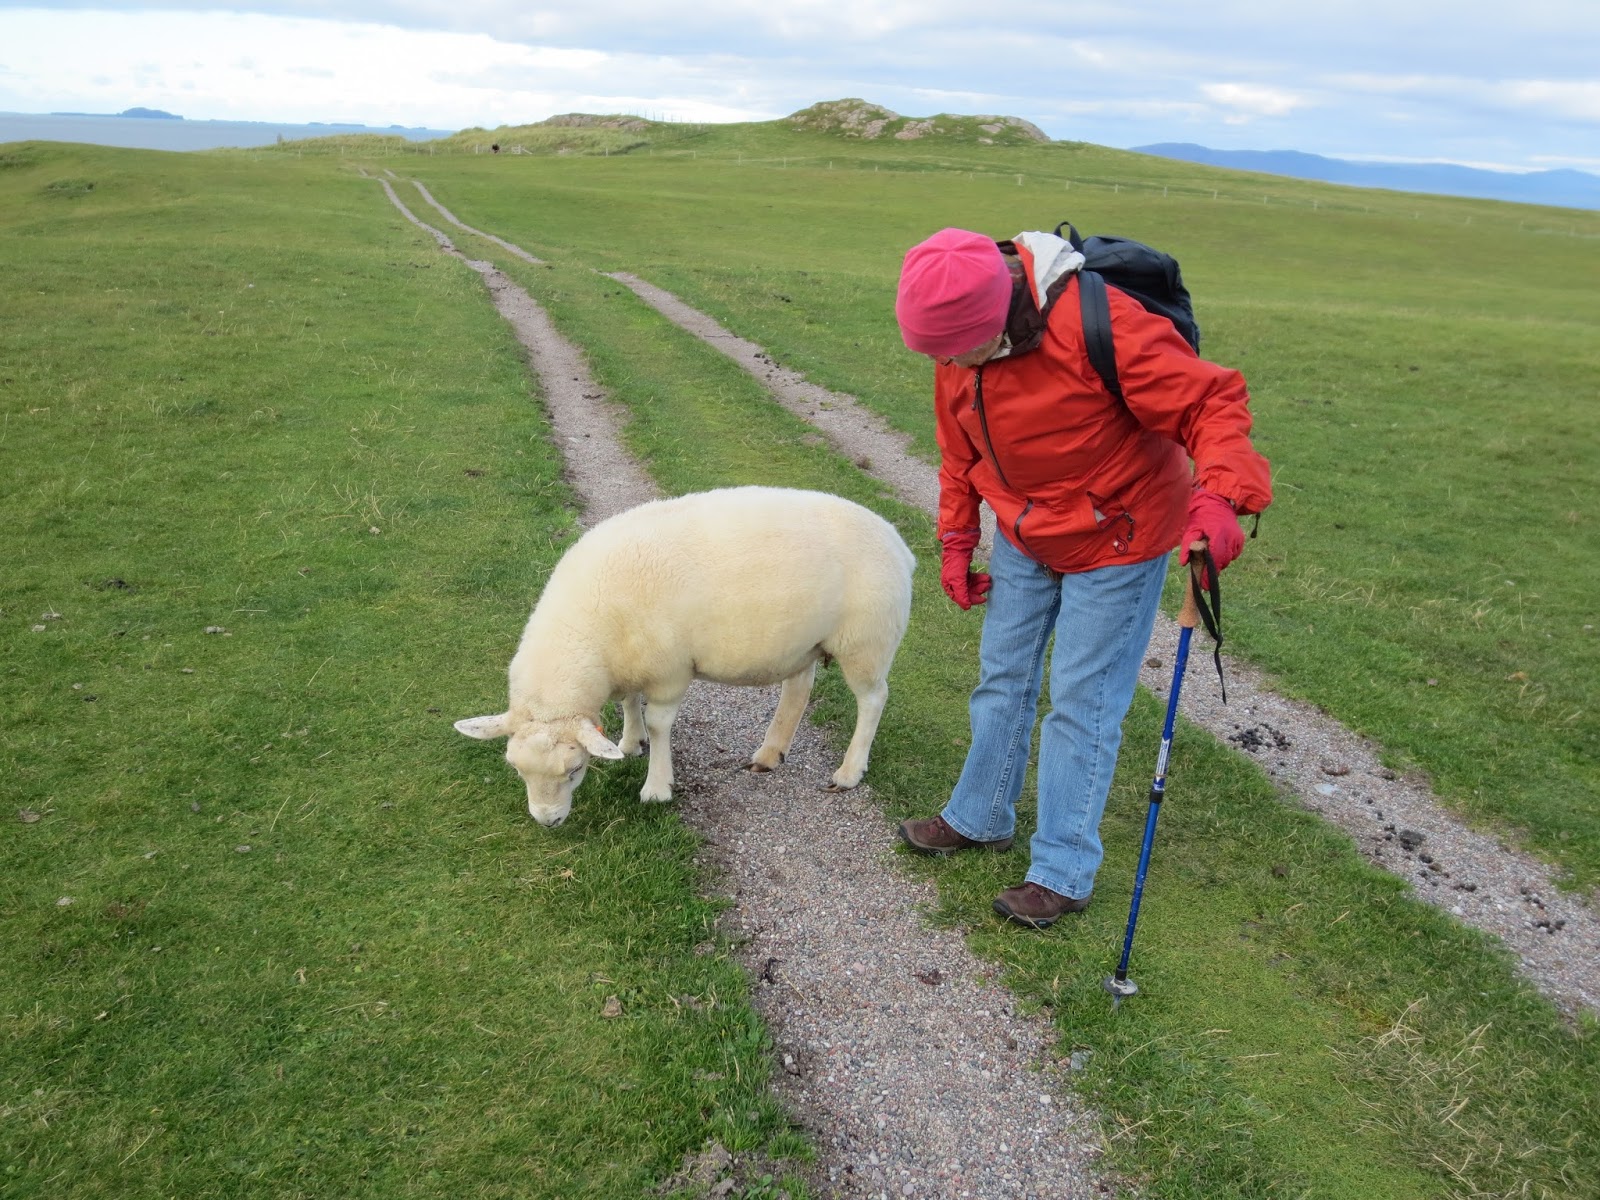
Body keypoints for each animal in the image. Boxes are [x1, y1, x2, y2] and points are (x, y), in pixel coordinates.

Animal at [455, 486, 916, 826]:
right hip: (804, 643)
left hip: (867, 642)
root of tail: (899, 544)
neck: (592, 631)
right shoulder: (632, 661)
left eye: (574, 770)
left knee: (873, 700)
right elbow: (629, 701)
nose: (547, 821)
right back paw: (770, 754)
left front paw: (657, 787)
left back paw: (849, 772)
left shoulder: (669, 670)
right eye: (518, 771)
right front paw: (629, 742)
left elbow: (660, 724)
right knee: (798, 688)